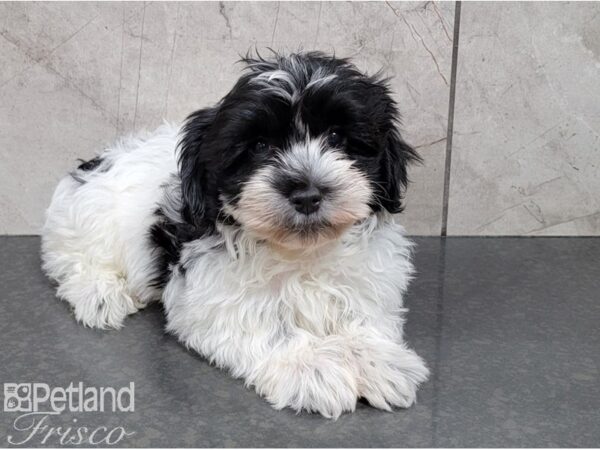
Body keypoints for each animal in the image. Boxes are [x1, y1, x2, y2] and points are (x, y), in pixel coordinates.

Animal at [41, 50, 426, 418]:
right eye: (259, 146)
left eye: (336, 137)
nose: (306, 193)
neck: (300, 252)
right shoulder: (213, 294)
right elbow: (264, 328)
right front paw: (312, 367)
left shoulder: (367, 279)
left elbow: (363, 314)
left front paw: (380, 361)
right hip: (91, 220)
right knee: (70, 259)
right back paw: (99, 294)